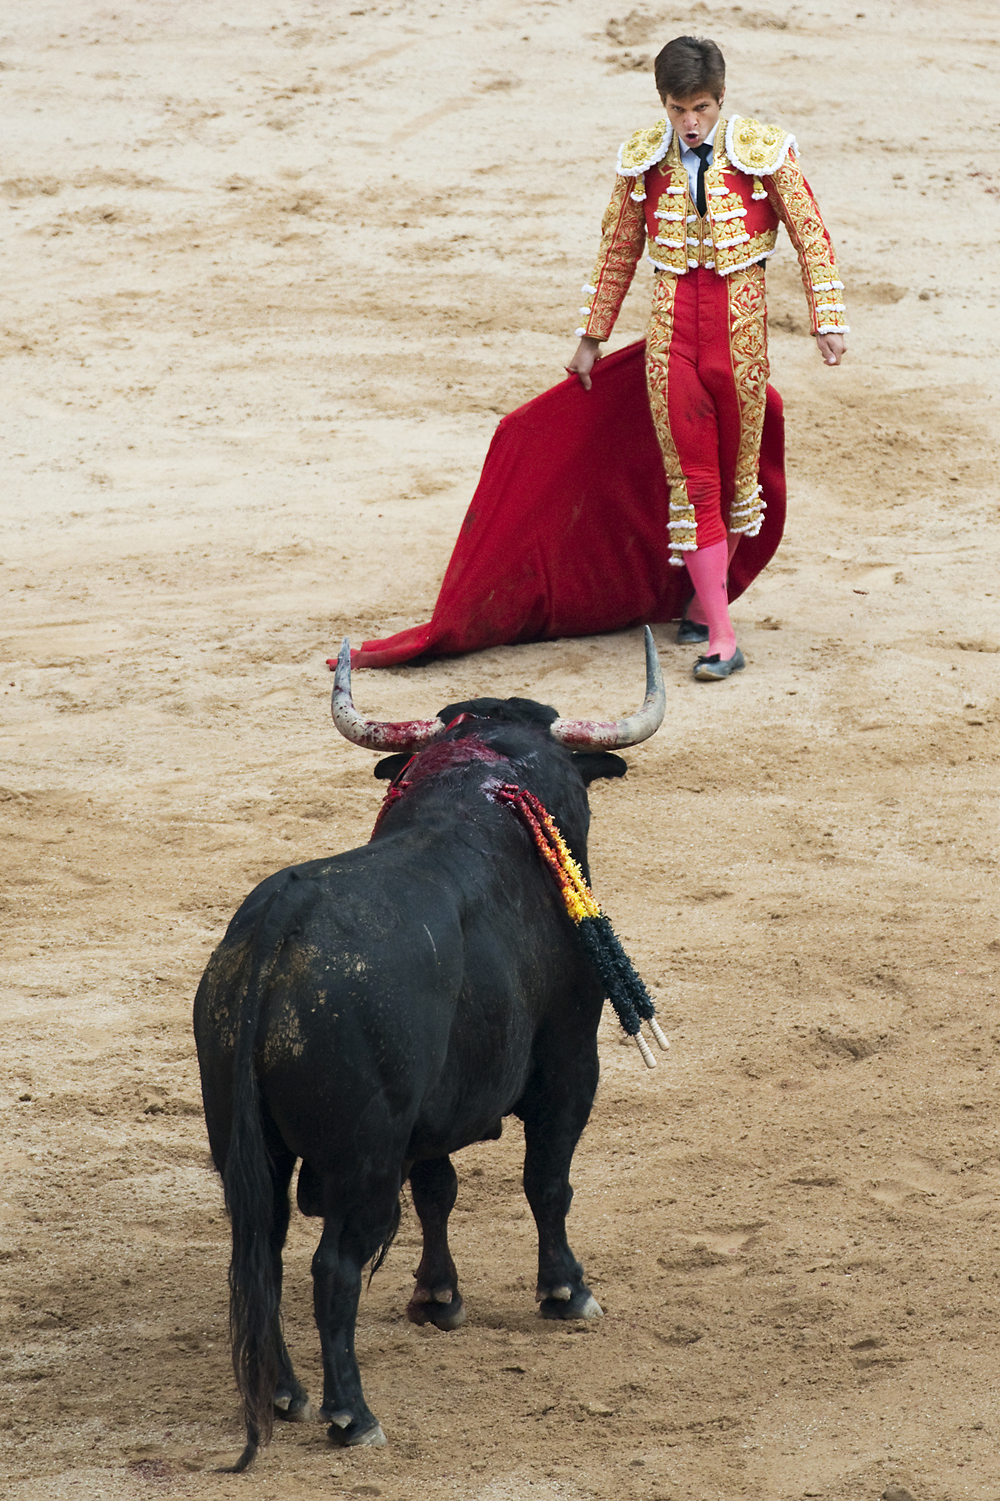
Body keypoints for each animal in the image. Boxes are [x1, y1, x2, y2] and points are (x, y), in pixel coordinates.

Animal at [193, 669, 657, 1464]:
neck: (480, 780)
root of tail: (277, 929)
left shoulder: (433, 1111)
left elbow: (439, 1189)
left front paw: (438, 1296)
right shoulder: (571, 1058)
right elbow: (548, 1181)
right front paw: (566, 1292)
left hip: (248, 1146)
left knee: (261, 1252)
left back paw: (286, 1393)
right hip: (364, 1158)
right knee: (333, 1267)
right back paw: (352, 1414)